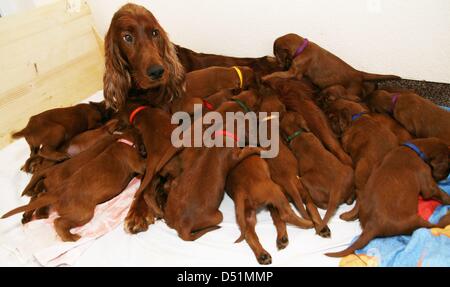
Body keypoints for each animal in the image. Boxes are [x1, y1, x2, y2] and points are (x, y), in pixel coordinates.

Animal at [2, 129, 146, 242]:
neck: (121, 140)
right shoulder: (137, 162)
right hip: (82, 214)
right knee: (58, 222)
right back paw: (71, 237)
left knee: (38, 199)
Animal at [262, 34, 400, 98]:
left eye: (277, 52)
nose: (279, 61)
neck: (302, 48)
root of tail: (358, 72)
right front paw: (269, 59)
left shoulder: (294, 72)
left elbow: (277, 73)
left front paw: (266, 76)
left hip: (350, 91)